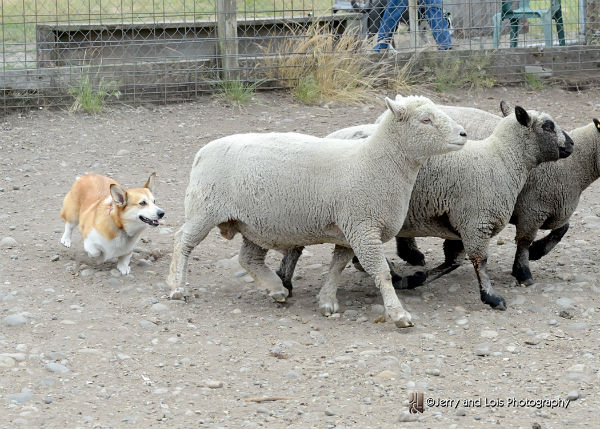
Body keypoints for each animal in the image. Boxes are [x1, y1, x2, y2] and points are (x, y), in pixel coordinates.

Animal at [166, 95, 466, 326]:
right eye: (425, 120)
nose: (463, 134)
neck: (375, 163)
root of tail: (202, 152)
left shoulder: (349, 231)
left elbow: (338, 266)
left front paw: (327, 301)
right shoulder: (363, 227)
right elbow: (381, 273)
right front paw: (399, 314)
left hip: (253, 223)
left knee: (248, 259)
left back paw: (276, 289)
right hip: (204, 210)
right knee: (183, 241)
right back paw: (177, 287)